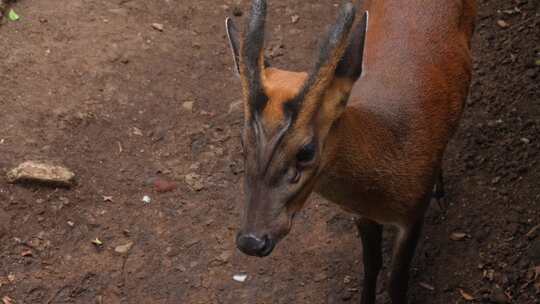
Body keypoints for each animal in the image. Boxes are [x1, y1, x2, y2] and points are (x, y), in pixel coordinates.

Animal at [224, 0, 476, 302]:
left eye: (306, 151)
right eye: (242, 142)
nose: (251, 241)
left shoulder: (413, 214)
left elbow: (397, 282)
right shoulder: (359, 213)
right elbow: (371, 264)